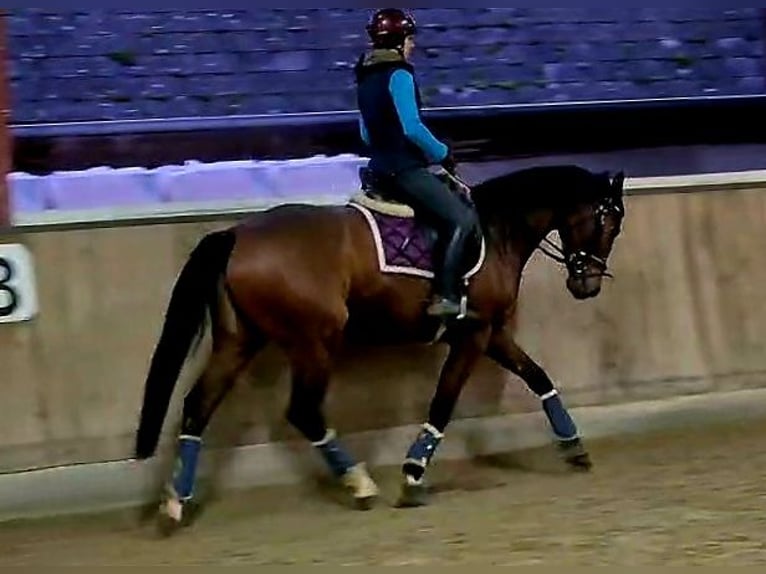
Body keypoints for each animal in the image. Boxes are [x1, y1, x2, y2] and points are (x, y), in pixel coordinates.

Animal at [133, 163, 626, 534]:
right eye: (608, 221)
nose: (587, 285)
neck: (494, 229)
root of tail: (238, 234)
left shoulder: (491, 332)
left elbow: (538, 376)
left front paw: (574, 445)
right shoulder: (473, 334)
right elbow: (444, 402)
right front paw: (412, 474)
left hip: (241, 339)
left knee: (198, 405)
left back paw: (175, 502)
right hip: (314, 339)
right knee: (303, 411)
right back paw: (359, 483)